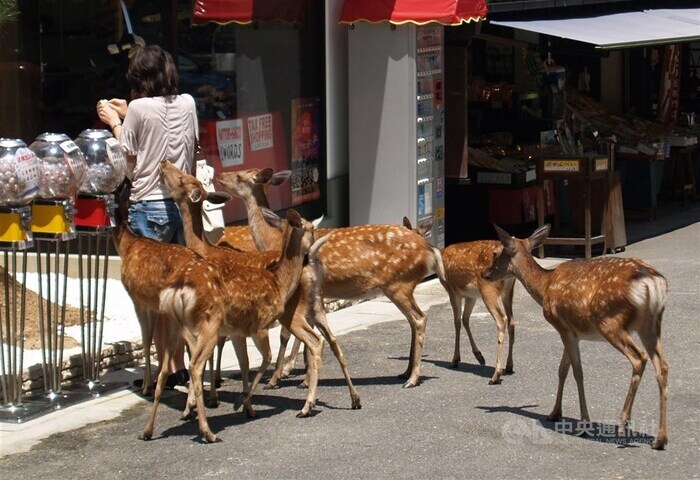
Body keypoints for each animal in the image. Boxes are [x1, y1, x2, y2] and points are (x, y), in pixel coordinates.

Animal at [141, 208, 328, 443]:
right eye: (311, 228)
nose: (313, 253)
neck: (279, 282)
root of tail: (178, 287)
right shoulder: (260, 324)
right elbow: (266, 358)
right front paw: (241, 402)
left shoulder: (238, 331)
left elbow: (245, 364)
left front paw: (249, 408)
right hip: (209, 324)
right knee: (195, 365)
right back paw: (207, 432)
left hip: (173, 325)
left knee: (165, 369)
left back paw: (148, 431)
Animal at [159, 160, 360, 417]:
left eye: (182, 179)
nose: (164, 163)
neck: (204, 248)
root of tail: (311, 262)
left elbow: (216, 350)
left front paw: (207, 398)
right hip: (317, 306)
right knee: (332, 341)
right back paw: (352, 398)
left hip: (293, 311)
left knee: (312, 340)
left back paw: (302, 397)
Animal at [484, 224, 669, 450]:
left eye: (497, 254)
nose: (485, 273)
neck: (544, 288)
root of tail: (653, 282)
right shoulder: (571, 331)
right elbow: (562, 369)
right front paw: (554, 413)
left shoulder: (563, 327)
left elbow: (577, 372)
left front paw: (584, 423)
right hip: (651, 325)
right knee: (663, 366)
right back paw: (660, 439)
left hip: (611, 322)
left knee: (639, 358)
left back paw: (624, 424)